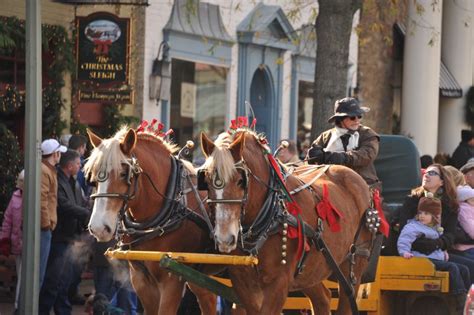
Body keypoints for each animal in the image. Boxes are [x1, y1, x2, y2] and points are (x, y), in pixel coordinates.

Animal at [200, 130, 378, 314]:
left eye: (240, 180)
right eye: (205, 181)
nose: (225, 238)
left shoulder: (279, 282)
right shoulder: (242, 282)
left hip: (354, 264)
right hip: (310, 270)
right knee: (323, 298)